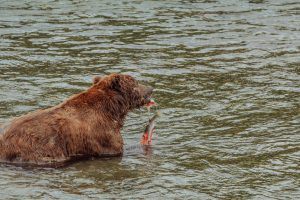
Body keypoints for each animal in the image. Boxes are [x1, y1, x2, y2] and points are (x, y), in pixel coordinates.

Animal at [0, 73, 152, 167]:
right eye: (135, 82)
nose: (150, 89)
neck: (113, 109)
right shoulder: (103, 133)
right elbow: (116, 148)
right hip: (37, 148)